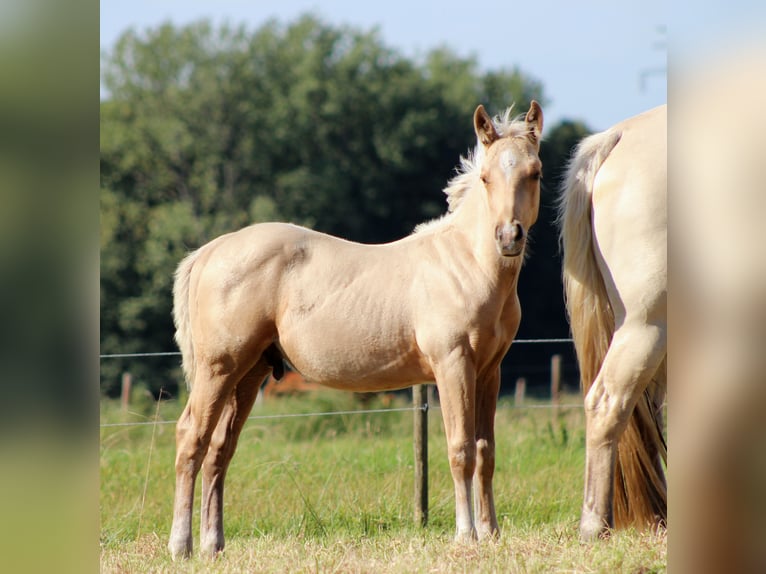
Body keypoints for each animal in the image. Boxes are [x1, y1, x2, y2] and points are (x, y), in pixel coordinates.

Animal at [168, 101, 544, 559]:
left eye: (535, 172)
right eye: (487, 178)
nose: (508, 237)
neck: (466, 265)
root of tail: (210, 251)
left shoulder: (490, 371)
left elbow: (486, 452)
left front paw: (491, 533)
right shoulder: (452, 365)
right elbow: (461, 450)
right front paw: (465, 534)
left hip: (249, 373)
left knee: (220, 450)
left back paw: (213, 545)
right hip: (218, 368)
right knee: (191, 439)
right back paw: (180, 545)